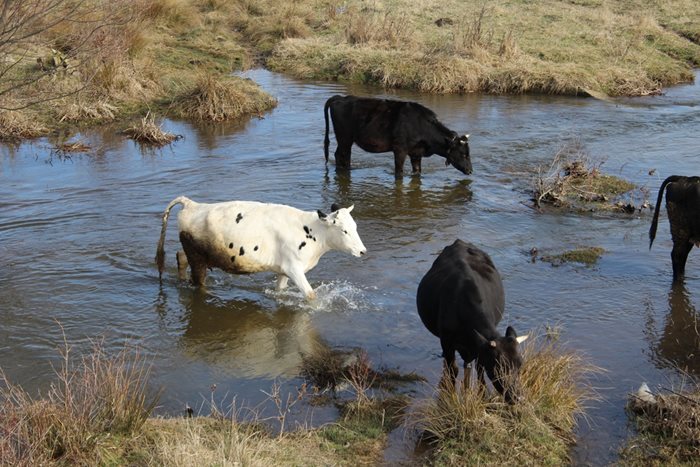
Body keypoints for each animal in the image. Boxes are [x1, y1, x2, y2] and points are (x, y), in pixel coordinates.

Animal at [156, 197, 366, 300]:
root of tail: (192, 204)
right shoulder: (294, 269)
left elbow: (280, 291)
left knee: (180, 256)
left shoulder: (283, 270)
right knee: (198, 282)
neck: (311, 230)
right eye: (344, 230)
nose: (363, 251)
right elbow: (311, 295)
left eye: (355, 226)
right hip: (198, 259)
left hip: (195, 254)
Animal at [322, 94, 470, 176]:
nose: (470, 171)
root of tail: (340, 98)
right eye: (463, 154)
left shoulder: (416, 153)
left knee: (341, 155)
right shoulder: (400, 149)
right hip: (344, 138)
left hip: (346, 139)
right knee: (342, 155)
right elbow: (399, 173)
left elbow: (417, 172)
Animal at [416, 239, 524, 404]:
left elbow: (479, 369)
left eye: (520, 365)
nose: (516, 397)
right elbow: (452, 369)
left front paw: (481, 393)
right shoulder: (446, 341)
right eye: (498, 367)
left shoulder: (479, 347)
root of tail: (459, 242)